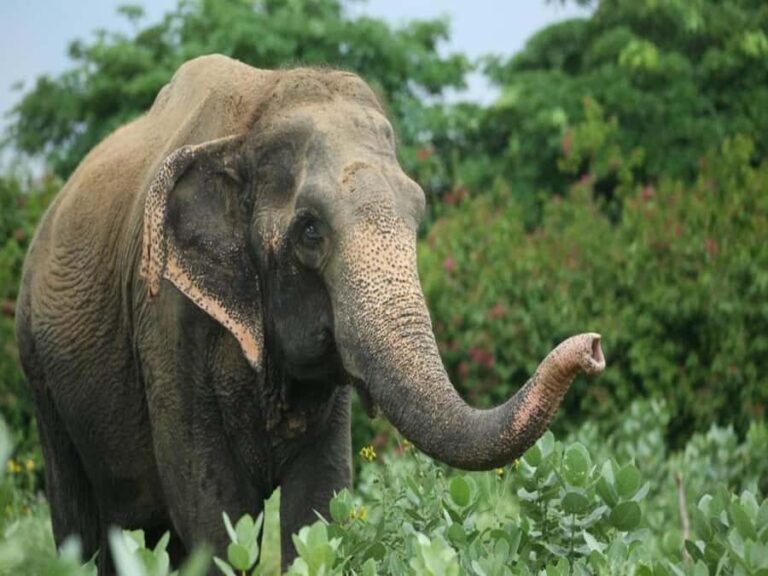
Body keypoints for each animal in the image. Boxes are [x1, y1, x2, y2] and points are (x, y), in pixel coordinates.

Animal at [15, 54, 605, 573]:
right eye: (310, 230)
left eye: (418, 214)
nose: (594, 347)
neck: (253, 118)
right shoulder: (165, 321)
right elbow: (213, 514)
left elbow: (318, 504)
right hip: (38, 370)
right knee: (81, 525)